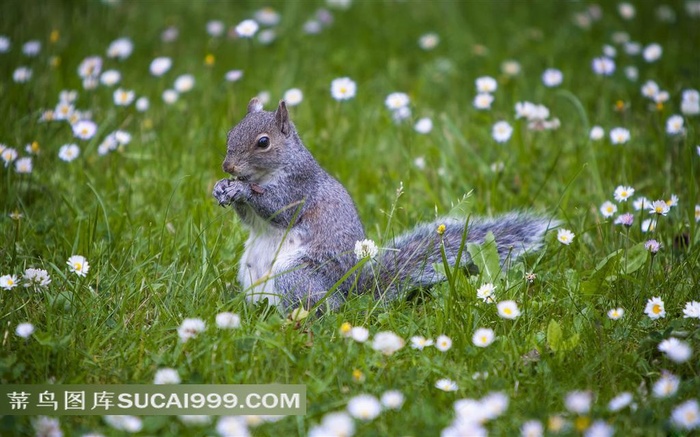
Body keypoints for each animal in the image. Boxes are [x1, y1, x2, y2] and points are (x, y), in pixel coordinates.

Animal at [211, 98, 556, 310]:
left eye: (263, 142)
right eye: (229, 133)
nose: (227, 166)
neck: (266, 173)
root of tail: (348, 295)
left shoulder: (299, 187)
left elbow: (278, 207)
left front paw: (241, 190)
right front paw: (221, 188)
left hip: (296, 276)